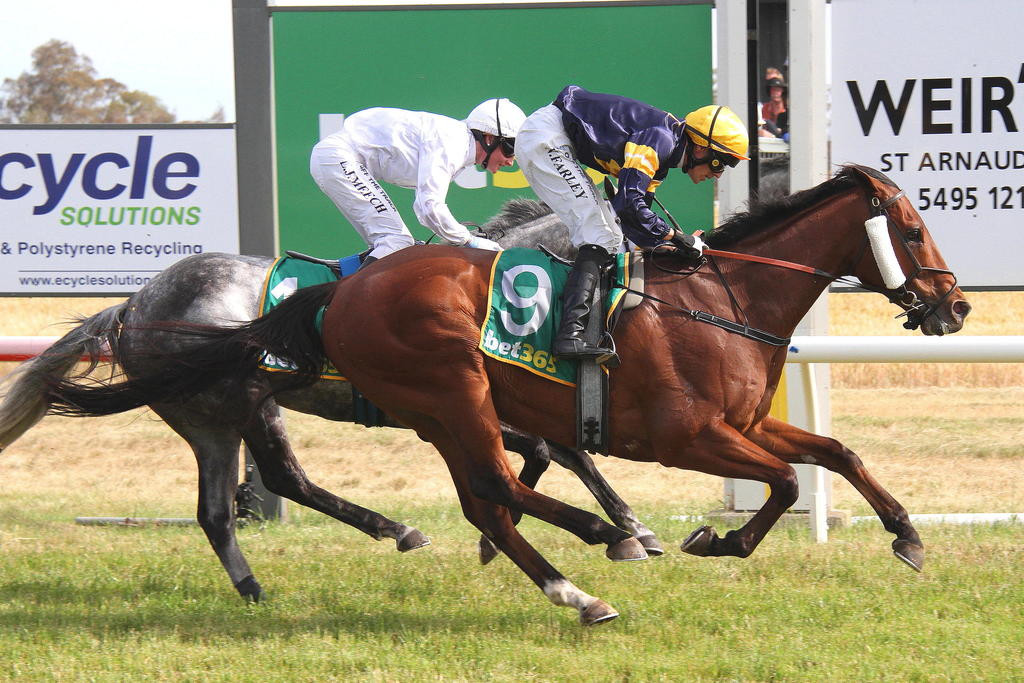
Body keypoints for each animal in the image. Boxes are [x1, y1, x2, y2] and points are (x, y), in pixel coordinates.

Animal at [46, 165, 966, 626]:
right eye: (913, 228)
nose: (953, 307)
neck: (720, 299)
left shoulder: (741, 424)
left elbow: (834, 451)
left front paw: (908, 534)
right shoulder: (686, 435)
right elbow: (775, 484)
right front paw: (709, 538)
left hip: (414, 410)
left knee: (470, 496)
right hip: (424, 390)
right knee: (473, 487)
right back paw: (586, 556)